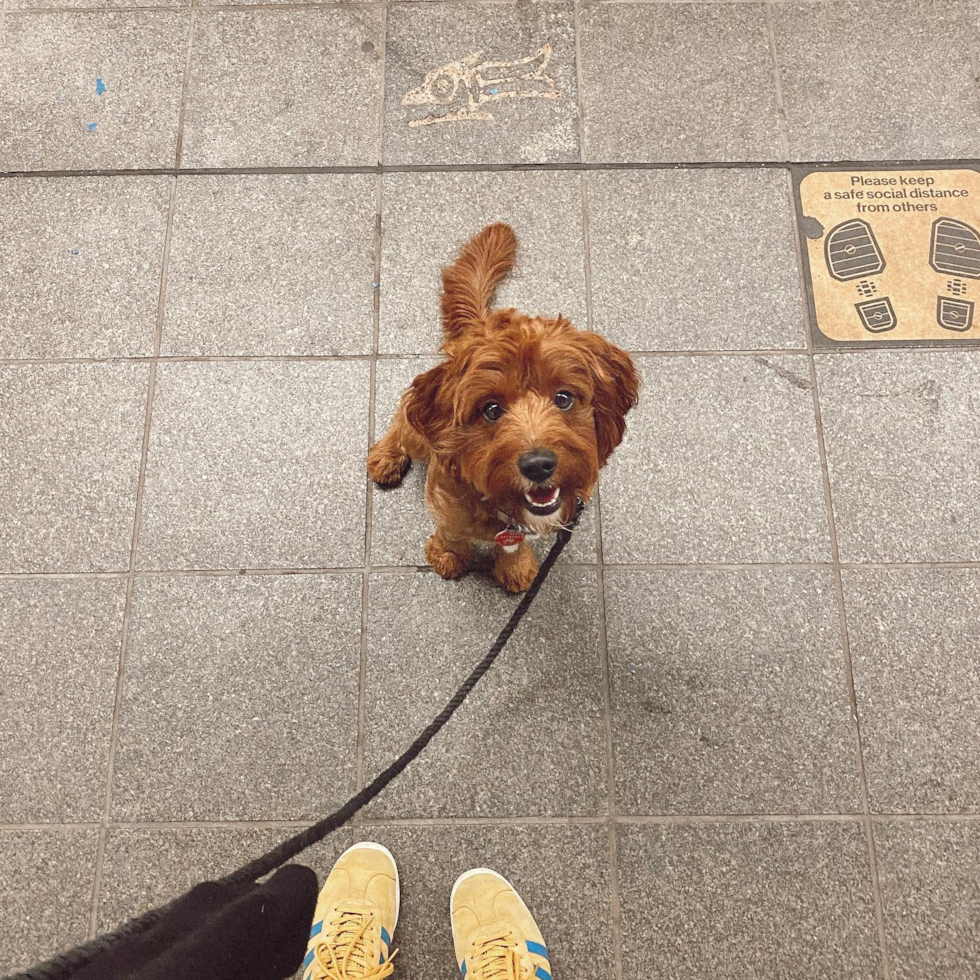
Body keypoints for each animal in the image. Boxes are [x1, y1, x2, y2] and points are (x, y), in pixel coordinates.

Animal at [368, 222, 644, 588]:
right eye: (492, 409)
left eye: (563, 398)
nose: (538, 465)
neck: (500, 504)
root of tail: (479, 326)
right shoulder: (445, 508)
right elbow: (451, 534)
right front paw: (449, 555)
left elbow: (511, 546)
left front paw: (515, 566)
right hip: (419, 437)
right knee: (402, 416)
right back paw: (386, 456)